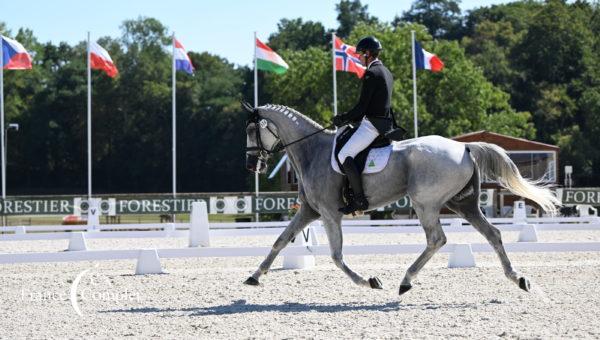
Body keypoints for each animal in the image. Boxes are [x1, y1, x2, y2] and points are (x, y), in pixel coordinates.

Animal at [241, 103, 560, 294]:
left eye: (252, 130)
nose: (252, 165)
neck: (313, 151)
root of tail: (465, 148)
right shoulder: (309, 210)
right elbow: (280, 241)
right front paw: (255, 275)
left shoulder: (330, 213)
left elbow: (336, 256)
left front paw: (370, 281)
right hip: (462, 203)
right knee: (492, 234)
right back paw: (518, 278)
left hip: (426, 203)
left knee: (437, 239)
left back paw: (406, 281)